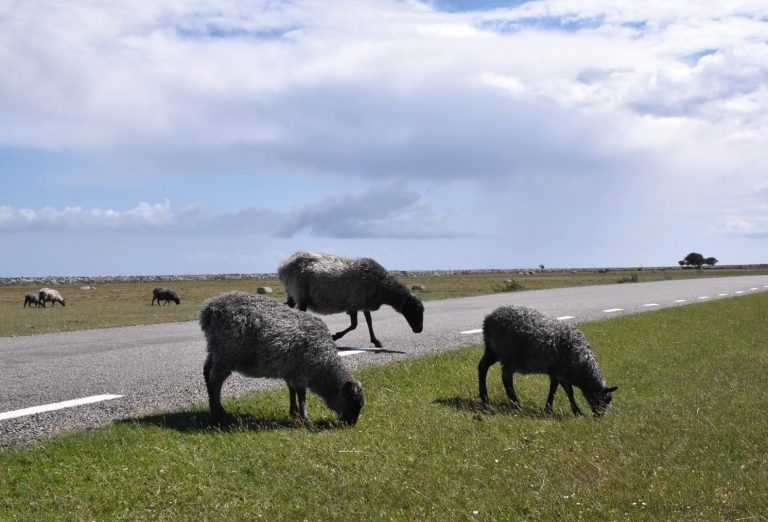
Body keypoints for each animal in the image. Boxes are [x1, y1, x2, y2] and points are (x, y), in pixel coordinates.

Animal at [198, 288, 366, 426]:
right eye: (352, 402)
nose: (351, 424)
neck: (324, 366)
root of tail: (209, 309)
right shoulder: (302, 371)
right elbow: (302, 395)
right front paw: (306, 419)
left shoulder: (291, 370)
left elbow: (291, 390)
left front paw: (294, 412)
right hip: (227, 353)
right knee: (215, 382)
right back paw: (216, 416)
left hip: (215, 349)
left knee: (206, 372)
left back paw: (218, 409)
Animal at [278, 250, 426, 348]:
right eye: (414, 311)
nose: (419, 330)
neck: (382, 287)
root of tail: (283, 266)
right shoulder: (353, 304)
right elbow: (354, 325)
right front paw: (335, 336)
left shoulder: (364, 304)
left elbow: (369, 322)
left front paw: (376, 341)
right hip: (300, 294)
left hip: (292, 294)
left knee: (287, 306)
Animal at [480, 304, 616, 414]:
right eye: (605, 400)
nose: (600, 416)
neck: (581, 365)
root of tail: (488, 320)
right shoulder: (557, 371)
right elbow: (556, 390)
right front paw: (549, 409)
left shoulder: (562, 373)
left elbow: (568, 390)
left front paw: (576, 411)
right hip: (508, 355)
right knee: (506, 378)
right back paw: (515, 404)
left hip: (492, 350)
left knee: (482, 367)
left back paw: (485, 398)